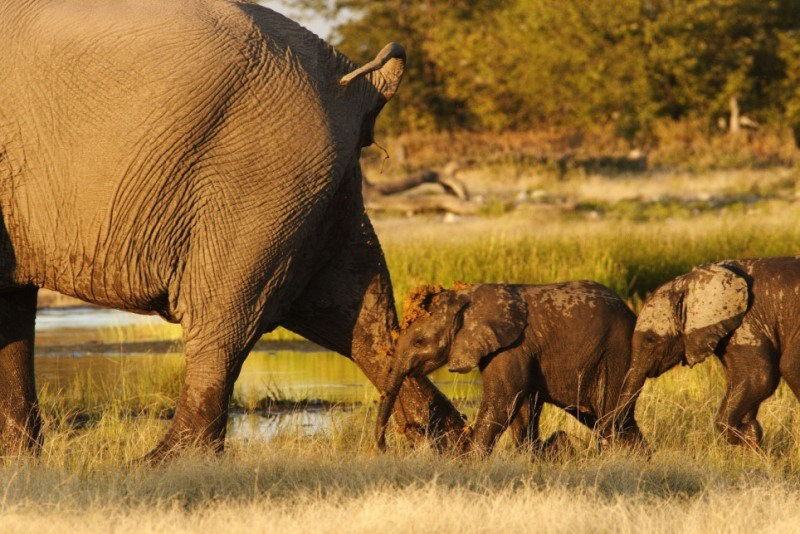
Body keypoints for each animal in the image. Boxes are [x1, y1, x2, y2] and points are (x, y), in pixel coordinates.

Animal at [0, 0, 466, 460]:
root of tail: (353, 83)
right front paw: (19, 460)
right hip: (316, 188)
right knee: (354, 317)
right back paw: (450, 442)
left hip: (260, 178)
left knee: (227, 318)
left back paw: (165, 461)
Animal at [376, 280, 644, 456]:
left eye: (419, 342)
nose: (383, 448)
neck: (466, 298)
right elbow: (523, 407)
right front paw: (530, 457)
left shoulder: (512, 346)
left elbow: (503, 400)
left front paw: (469, 461)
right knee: (613, 420)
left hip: (616, 355)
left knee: (611, 417)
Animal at [616, 258, 800, 448]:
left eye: (650, 339)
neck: (689, 281)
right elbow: (742, 380)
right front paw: (750, 435)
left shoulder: (748, 320)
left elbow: (760, 376)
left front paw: (745, 434)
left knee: (789, 365)